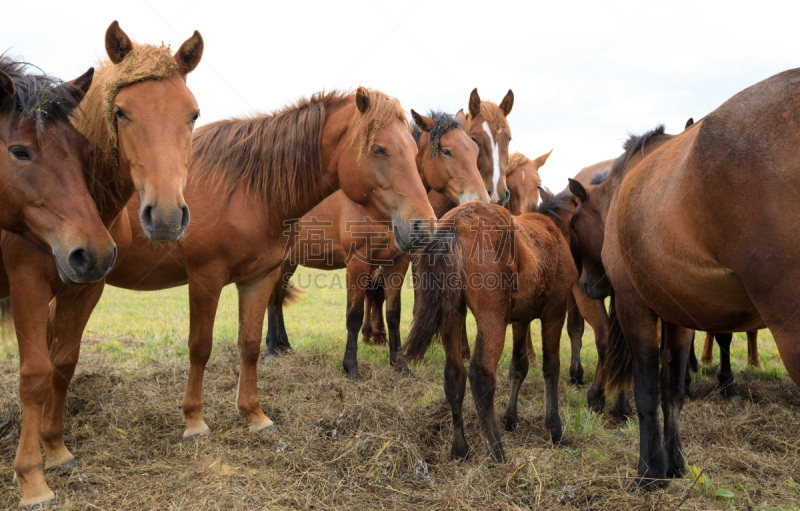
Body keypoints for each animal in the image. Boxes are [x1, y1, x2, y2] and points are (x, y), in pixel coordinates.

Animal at [1, 20, 206, 508]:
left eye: (192, 115)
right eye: (122, 112)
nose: (166, 217)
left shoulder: (85, 287)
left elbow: (63, 365)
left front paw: (55, 449)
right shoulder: (27, 285)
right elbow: (34, 374)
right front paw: (32, 478)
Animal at [91, 87, 438, 444]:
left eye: (415, 151)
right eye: (378, 148)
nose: (424, 225)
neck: (243, 188)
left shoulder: (258, 278)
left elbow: (249, 344)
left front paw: (255, 416)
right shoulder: (206, 277)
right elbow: (200, 347)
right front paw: (194, 422)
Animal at [264, 109, 488, 380]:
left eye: (474, 151)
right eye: (447, 151)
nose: (482, 200)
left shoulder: (398, 262)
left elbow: (393, 313)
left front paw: (399, 364)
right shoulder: (358, 263)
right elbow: (354, 315)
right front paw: (351, 367)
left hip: (290, 260)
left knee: (277, 297)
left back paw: (284, 346)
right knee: (272, 297)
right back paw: (272, 349)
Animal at [404, 194, 580, 462]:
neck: (553, 229)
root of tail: (453, 225)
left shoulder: (520, 320)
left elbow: (519, 366)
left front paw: (511, 417)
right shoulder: (555, 312)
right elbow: (551, 368)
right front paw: (555, 429)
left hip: (452, 315)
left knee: (454, 374)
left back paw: (460, 449)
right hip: (493, 317)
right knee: (481, 374)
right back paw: (496, 451)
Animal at [576, 68, 800, 488]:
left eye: (574, 226)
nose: (585, 285)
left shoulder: (634, 305)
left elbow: (648, 391)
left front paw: (650, 471)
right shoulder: (679, 315)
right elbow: (673, 393)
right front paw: (675, 463)